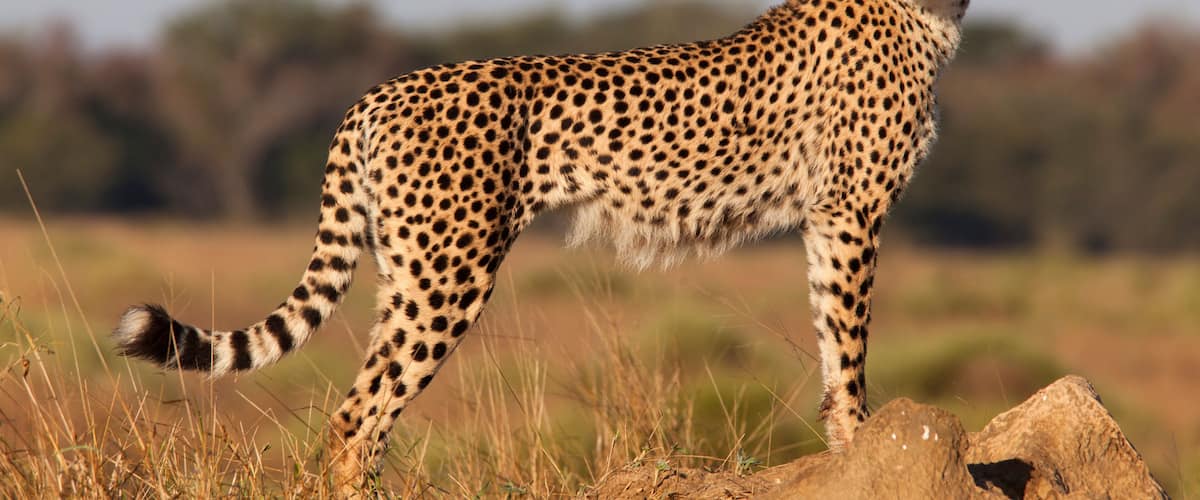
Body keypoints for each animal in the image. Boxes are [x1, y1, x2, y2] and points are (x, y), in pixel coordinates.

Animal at [113, 0, 969, 493]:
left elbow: (830, 344)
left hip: (406, 273)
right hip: (448, 274)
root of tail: (381, 90)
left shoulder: (827, 218)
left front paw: (847, 448)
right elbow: (850, 350)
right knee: (360, 415)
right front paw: (865, 444)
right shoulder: (852, 210)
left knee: (360, 408)